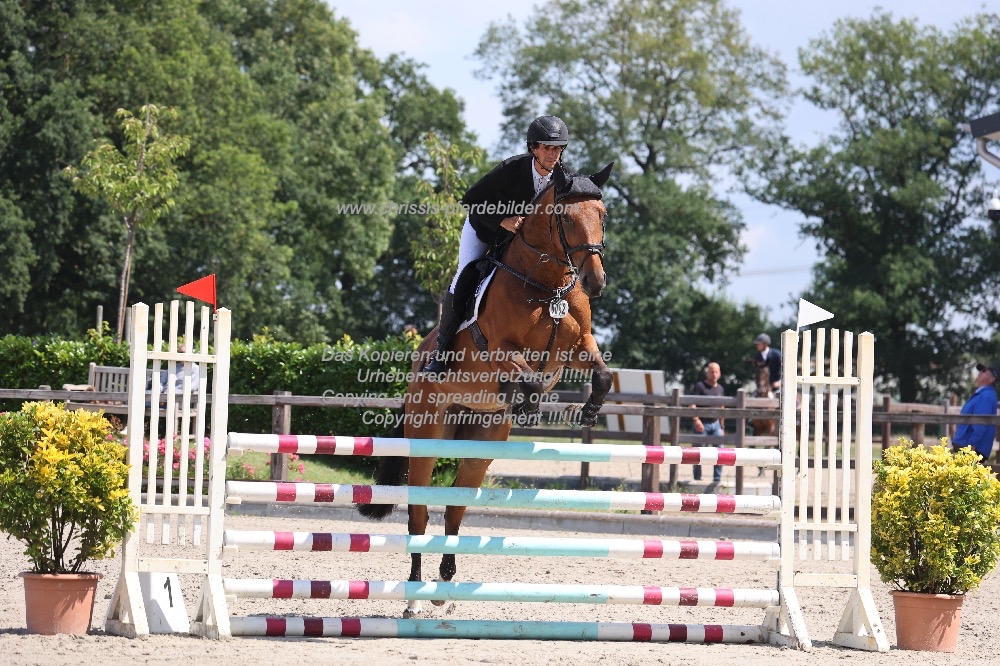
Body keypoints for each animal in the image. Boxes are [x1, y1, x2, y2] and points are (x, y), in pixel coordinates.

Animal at [356, 160, 612, 612]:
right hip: (427, 435)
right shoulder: (500, 351)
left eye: (602, 215)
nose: (595, 282)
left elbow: (600, 373)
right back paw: (416, 596)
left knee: (455, 508)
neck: (547, 285)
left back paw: (444, 586)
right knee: (419, 512)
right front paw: (525, 402)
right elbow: (528, 377)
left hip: (480, 443)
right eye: (565, 218)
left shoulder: (579, 344)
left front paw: (590, 410)